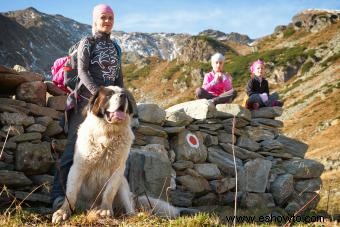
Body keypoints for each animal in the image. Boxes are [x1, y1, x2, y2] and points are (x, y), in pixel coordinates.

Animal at [51, 86, 179, 223]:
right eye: (109, 94)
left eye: (124, 94)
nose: (123, 96)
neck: (108, 133)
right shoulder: (78, 168)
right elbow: (70, 193)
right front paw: (62, 212)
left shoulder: (118, 170)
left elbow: (109, 192)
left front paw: (105, 210)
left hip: (123, 184)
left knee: (130, 206)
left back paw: (134, 216)